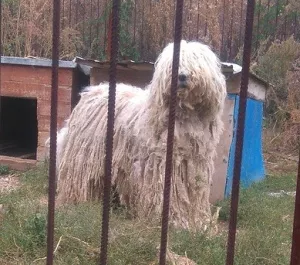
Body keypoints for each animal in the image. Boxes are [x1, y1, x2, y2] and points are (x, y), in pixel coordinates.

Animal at [54, 40, 227, 230]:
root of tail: (91, 92)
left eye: (194, 61)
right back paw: (79, 203)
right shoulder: (161, 162)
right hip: (85, 155)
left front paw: (196, 222)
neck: (185, 114)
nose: (181, 76)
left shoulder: (194, 163)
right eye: (172, 65)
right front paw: (171, 220)